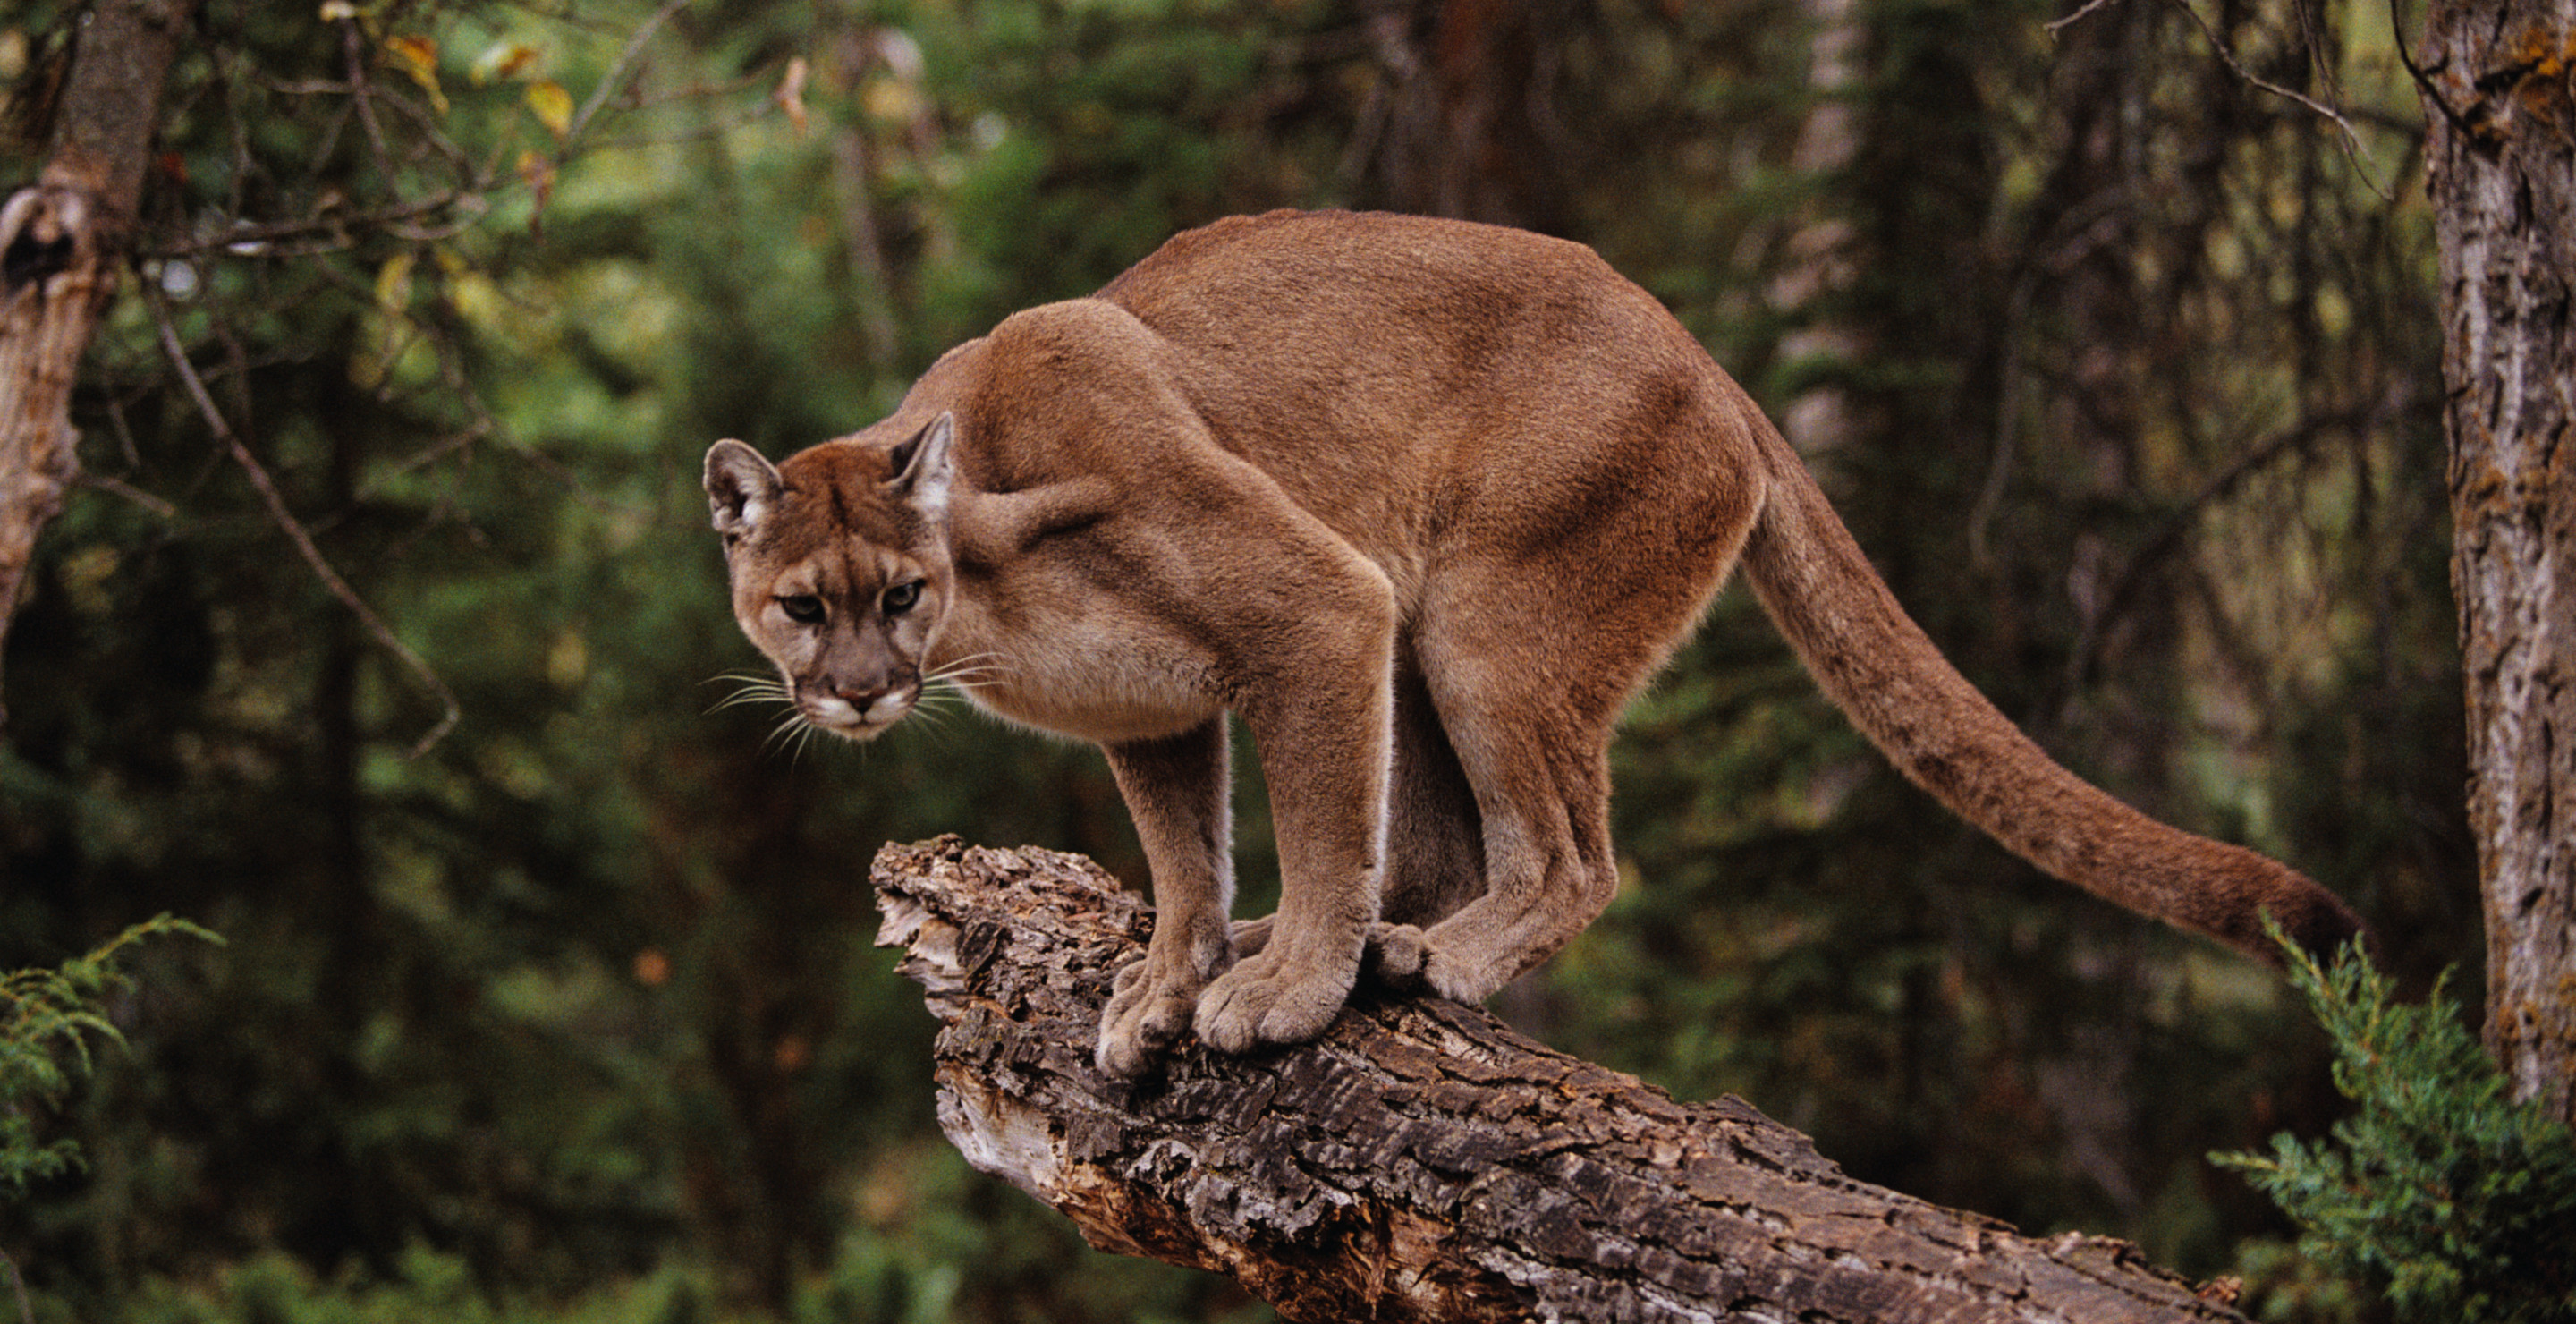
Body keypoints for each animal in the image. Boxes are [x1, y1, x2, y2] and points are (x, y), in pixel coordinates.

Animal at [700, 206, 2360, 1071]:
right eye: (802, 606)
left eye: (896, 596)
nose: (859, 697)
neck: (992, 584)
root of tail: (1699, 347)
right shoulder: (1157, 711)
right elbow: (1186, 861)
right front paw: (1173, 981)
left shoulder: (1316, 605)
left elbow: (1317, 827)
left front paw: (1277, 996)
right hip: (1433, 638)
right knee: (1444, 848)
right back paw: (1387, 945)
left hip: (1480, 624)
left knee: (1567, 855)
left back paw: (1426, 963)